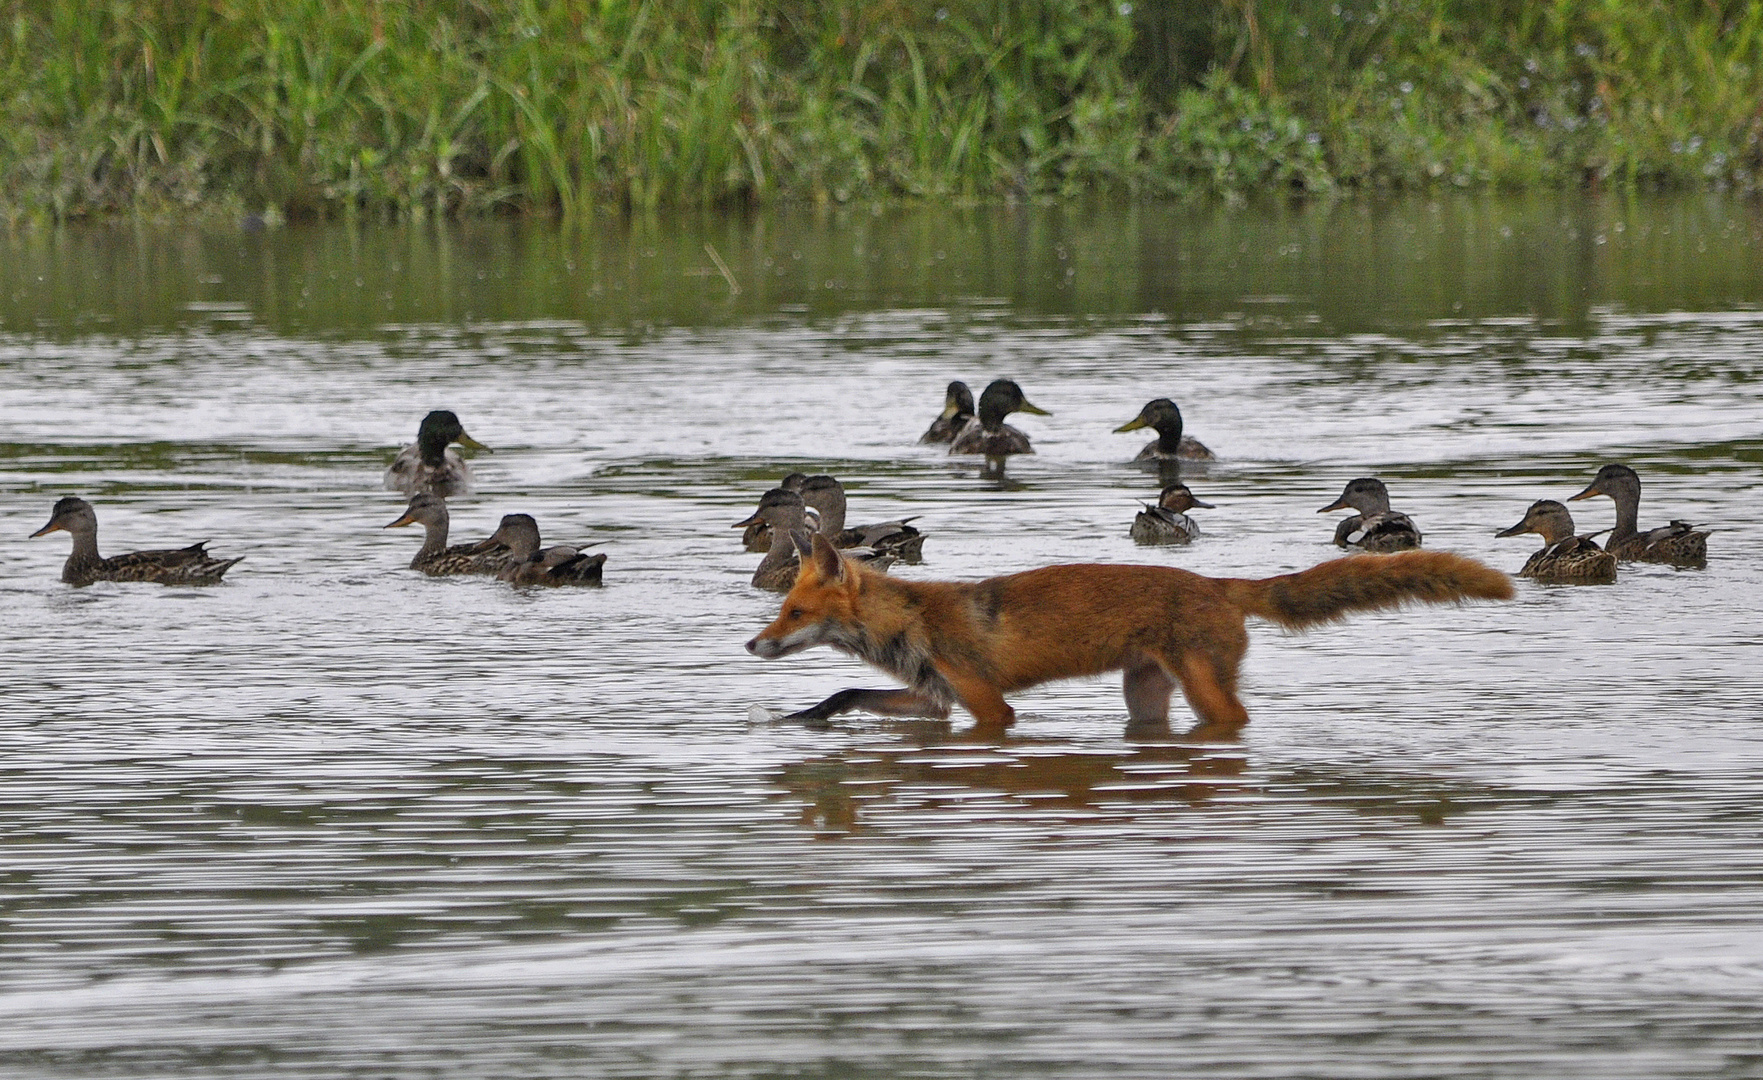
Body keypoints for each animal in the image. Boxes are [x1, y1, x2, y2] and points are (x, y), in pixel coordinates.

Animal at [747, 535, 1516, 736]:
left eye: (793, 613)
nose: (752, 647)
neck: (908, 625)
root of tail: (1218, 582)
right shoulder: (933, 701)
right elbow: (845, 693)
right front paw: (806, 719)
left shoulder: (991, 708)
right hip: (1145, 696)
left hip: (1206, 692)